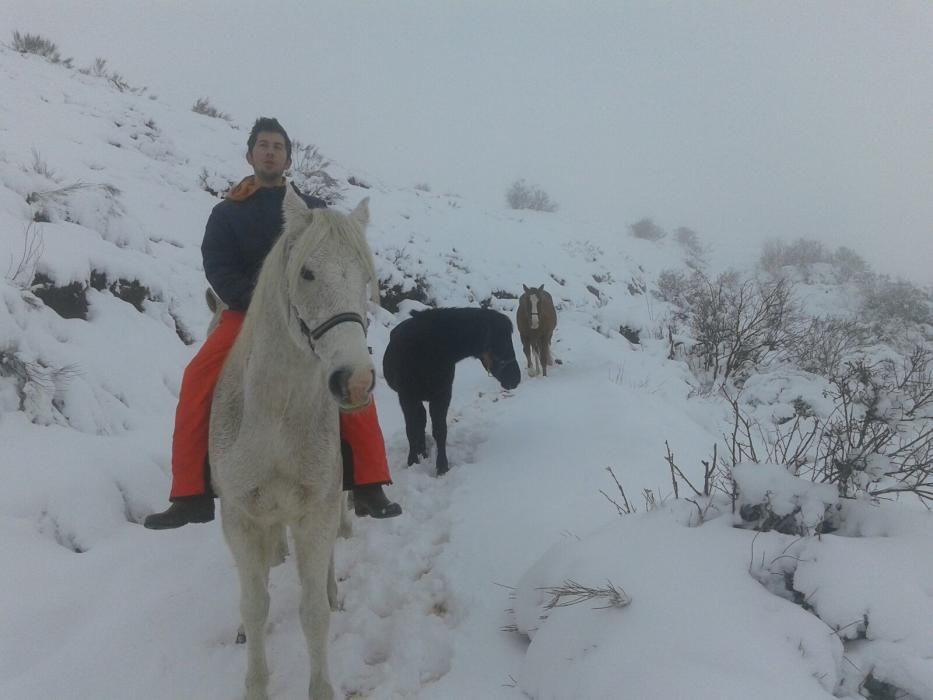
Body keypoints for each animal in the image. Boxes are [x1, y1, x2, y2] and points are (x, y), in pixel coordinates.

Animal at [210, 187, 378, 700]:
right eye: (307, 272)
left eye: (365, 276)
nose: (356, 381)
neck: (278, 420)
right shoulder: (241, 518)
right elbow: (254, 604)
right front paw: (255, 683)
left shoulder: (316, 512)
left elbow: (313, 612)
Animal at [382, 308, 520, 476]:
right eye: (501, 341)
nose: (515, 378)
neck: (427, 349)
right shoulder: (406, 398)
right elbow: (411, 430)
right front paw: (412, 461)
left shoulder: (442, 396)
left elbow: (440, 431)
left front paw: (442, 467)